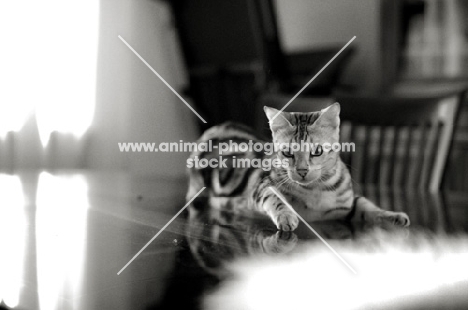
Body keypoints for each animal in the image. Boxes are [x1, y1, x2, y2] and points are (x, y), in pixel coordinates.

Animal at [187, 103, 410, 231]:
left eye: (317, 151)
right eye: (287, 153)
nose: (302, 171)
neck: (317, 189)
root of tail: (218, 126)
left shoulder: (348, 204)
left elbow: (367, 205)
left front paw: (392, 215)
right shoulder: (261, 187)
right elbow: (274, 198)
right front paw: (286, 216)